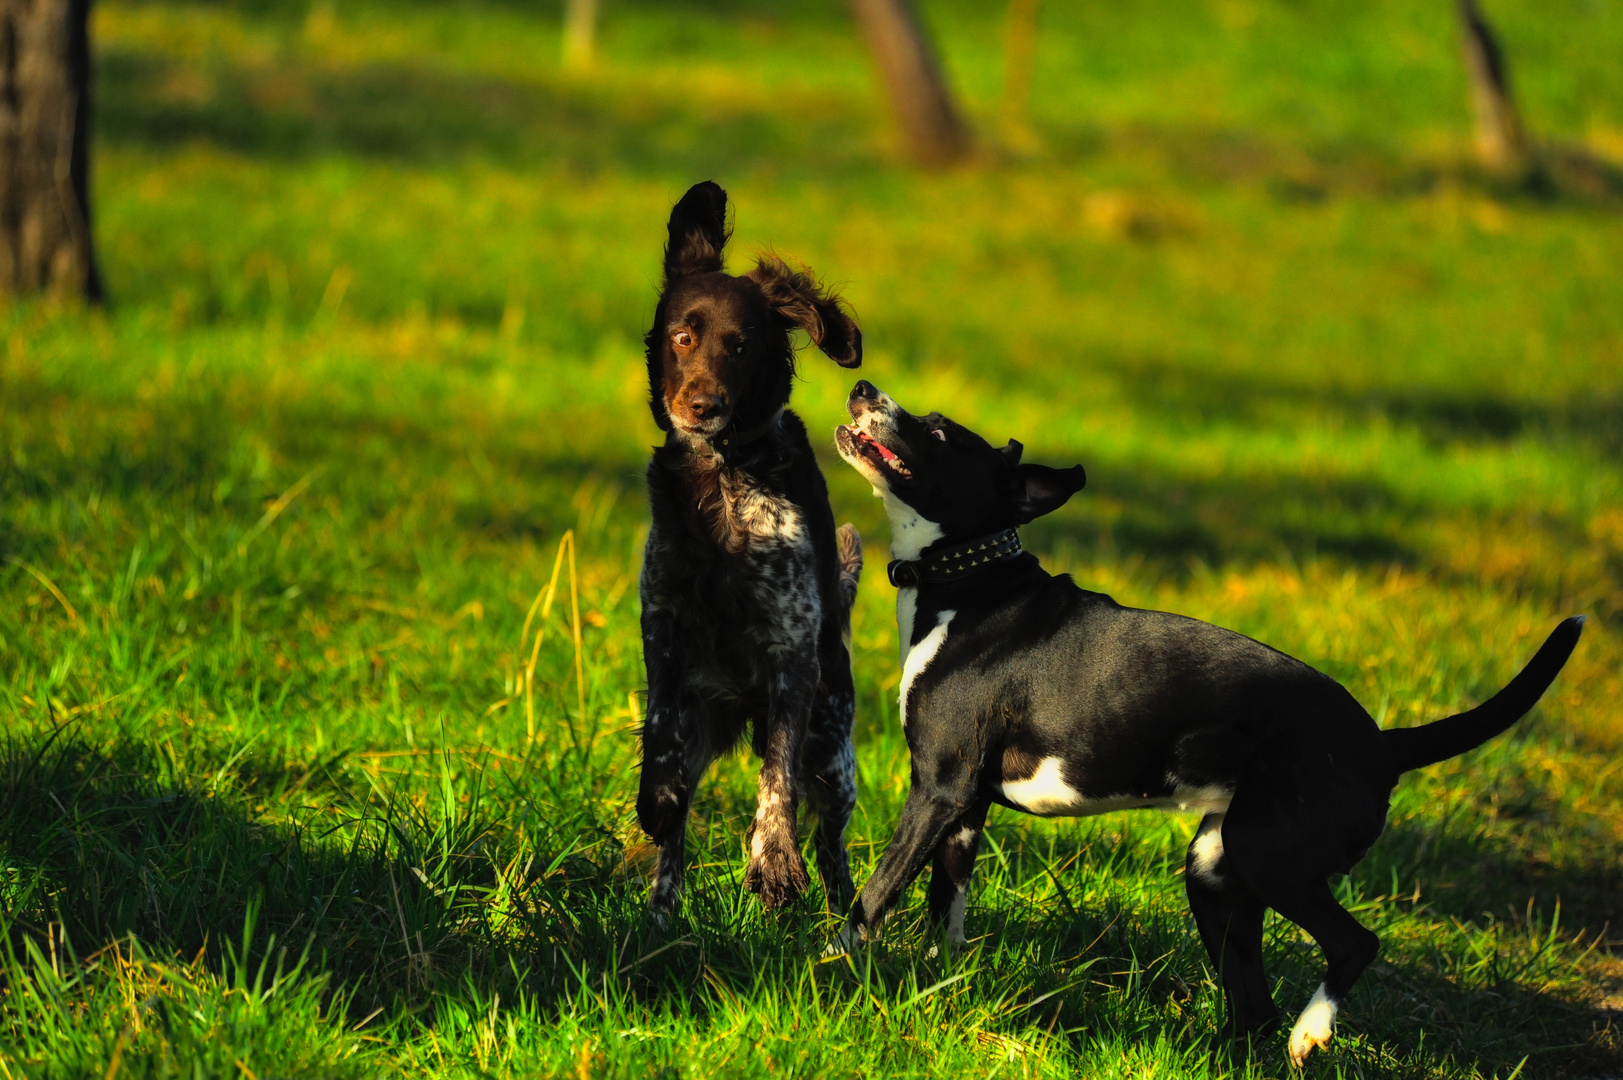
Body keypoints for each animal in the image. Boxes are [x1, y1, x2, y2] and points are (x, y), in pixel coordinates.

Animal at [632, 183, 869, 915]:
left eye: (740, 346)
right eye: (683, 336)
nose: (702, 405)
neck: (722, 482)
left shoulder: (792, 651)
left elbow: (776, 779)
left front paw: (772, 861)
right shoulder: (663, 623)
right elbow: (662, 743)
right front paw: (656, 801)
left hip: (834, 751)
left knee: (832, 847)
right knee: (676, 833)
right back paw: (662, 911)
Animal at [837, 378, 1584, 1058]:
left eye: (936, 430)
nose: (861, 386)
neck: (967, 581)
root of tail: (1381, 744)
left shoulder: (939, 789)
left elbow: (871, 897)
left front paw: (830, 966)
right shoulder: (964, 808)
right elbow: (944, 910)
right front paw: (935, 982)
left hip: (1269, 853)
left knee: (1354, 944)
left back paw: (1312, 1032)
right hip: (1217, 872)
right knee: (1252, 1008)